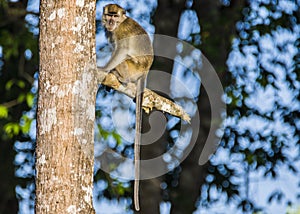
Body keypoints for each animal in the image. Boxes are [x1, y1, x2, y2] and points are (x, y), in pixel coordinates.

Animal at [99, 3, 154, 211]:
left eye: (115, 17)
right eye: (109, 15)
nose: (110, 22)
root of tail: (145, 71)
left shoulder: (119, 32)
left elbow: (120, 50)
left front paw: (103, 69)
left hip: (132, 68)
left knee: (123, 57)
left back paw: (118, 75)